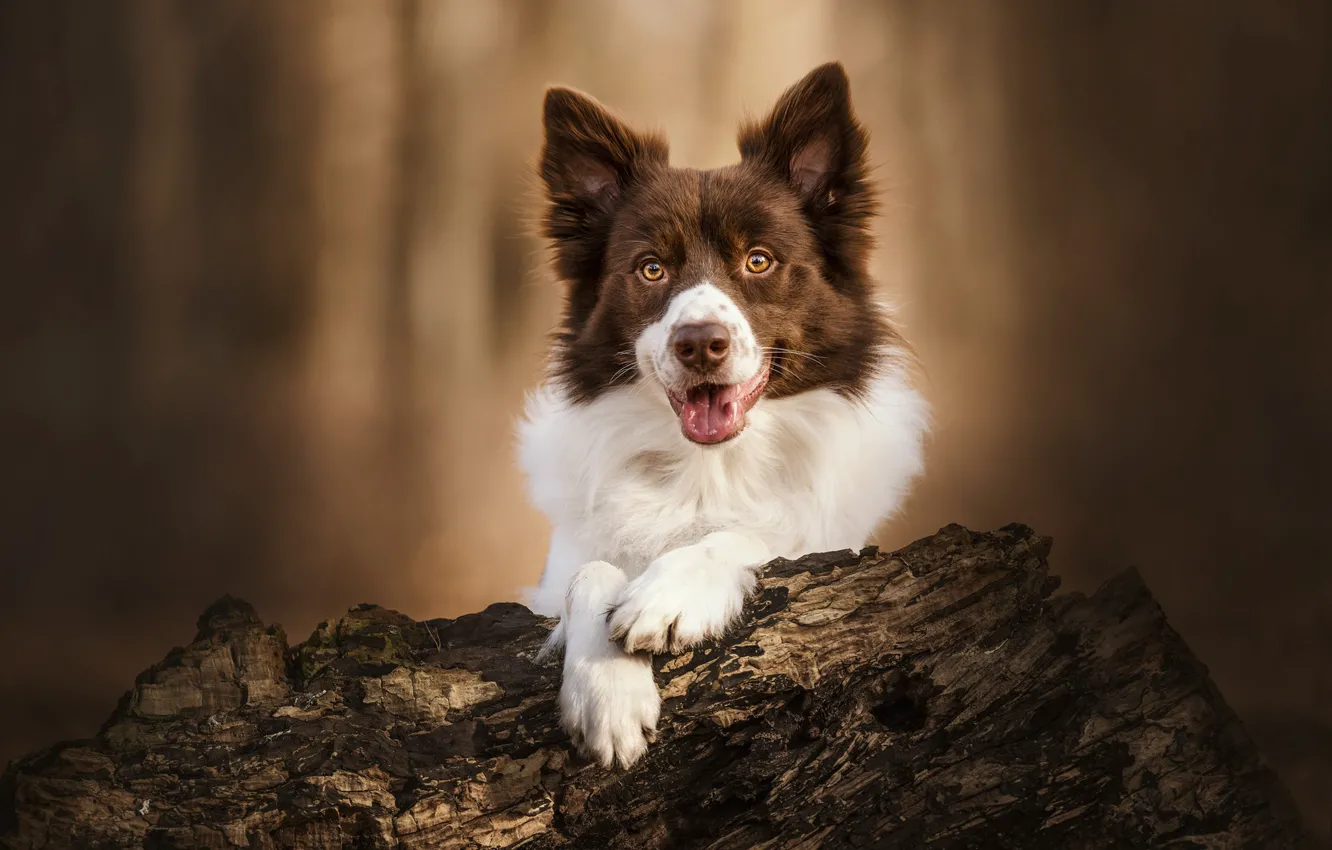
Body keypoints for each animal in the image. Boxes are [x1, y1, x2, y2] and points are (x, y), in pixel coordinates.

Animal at [516, 64, 927, 772]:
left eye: (757, 260)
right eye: (651, 268)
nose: (700, 343)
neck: (707, 469)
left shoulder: (823, 541)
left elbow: (749, 535)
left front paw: (670, 593)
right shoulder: (559, 572)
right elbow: (591, 572)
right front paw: (606, 692)